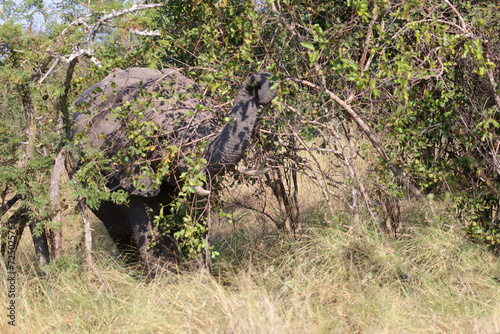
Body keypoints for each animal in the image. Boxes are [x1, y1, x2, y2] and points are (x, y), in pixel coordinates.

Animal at [72, 67, 278, 272]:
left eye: (213, 120)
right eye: (168, 137)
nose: (258, 80)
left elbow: (194, 215)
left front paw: (203, 276)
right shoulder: (121, 169)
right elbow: (149, 226)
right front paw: (170, 279)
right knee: (120, 235)